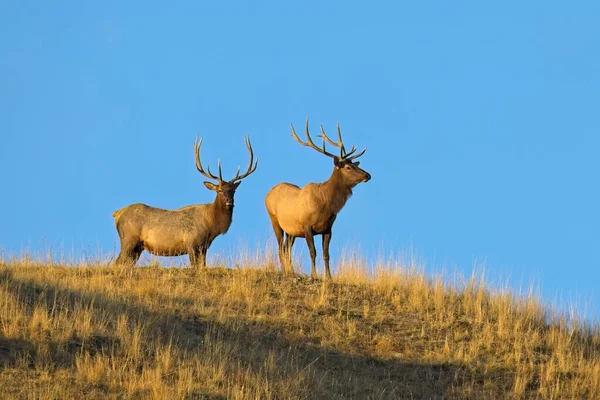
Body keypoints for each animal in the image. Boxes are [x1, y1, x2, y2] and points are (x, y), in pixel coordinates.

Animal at [112, 138, 258, 268]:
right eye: (220, 190)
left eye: (233, 190)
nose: (230, 201)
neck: (211, 225)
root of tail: (117, 214)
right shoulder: (192, 243)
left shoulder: (204, 247)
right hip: (128, 239)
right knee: (117, 262)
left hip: (138, 247)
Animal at [264, 120, 368, 280]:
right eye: (348, 167)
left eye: (355, 165)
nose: (368, 175)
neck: (325, 206)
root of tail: (267, 194)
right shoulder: (306, 226)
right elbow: (313, 252)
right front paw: (314, 274)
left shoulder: (328, 228)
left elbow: (326, 254)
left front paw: (329, 277)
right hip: (274, 220)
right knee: (281, 248)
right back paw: (285, 270)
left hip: (291, 231)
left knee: (287, 248)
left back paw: (291, 270)